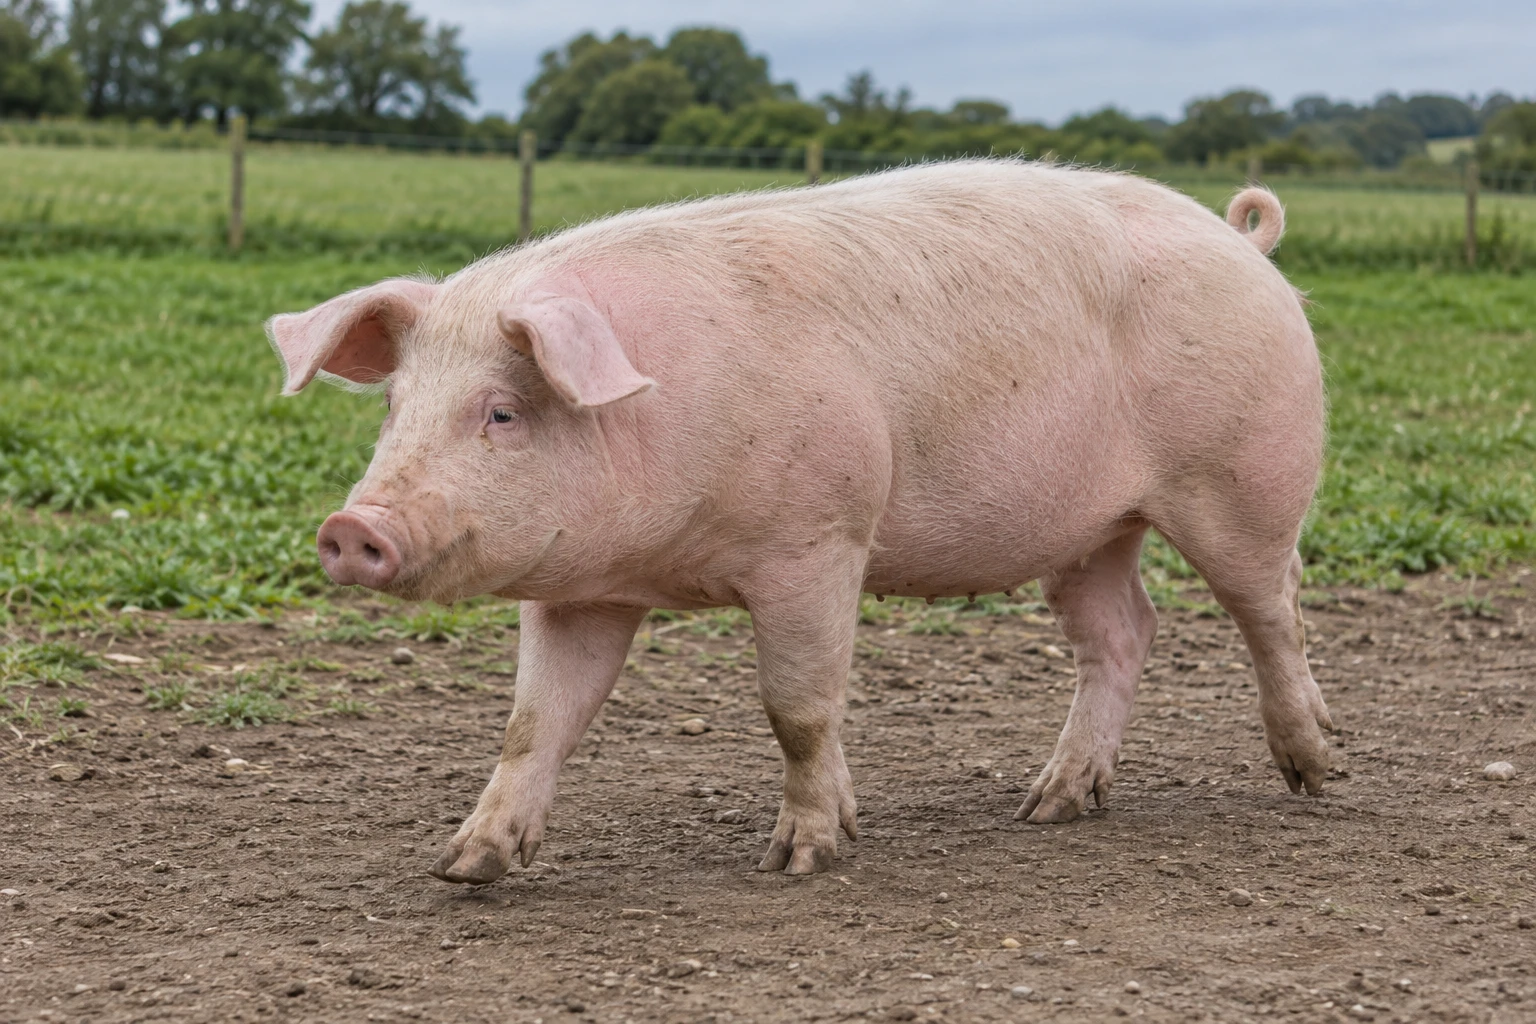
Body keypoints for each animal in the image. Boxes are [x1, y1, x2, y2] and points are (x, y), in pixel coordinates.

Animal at [266, 159, 1332, 884]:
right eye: (393, 405)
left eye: (502, 412)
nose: (353, 528)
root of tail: (1244, 241)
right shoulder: (582, 591)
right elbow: (537, 719)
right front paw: (467, 864)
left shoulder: (819, 541)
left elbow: (799, 707)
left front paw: (803, 858)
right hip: (1088, 528)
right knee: (1123, 630)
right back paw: (1049, 807)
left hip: (1244, 478)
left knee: (1273, 608)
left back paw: (1313, 772)